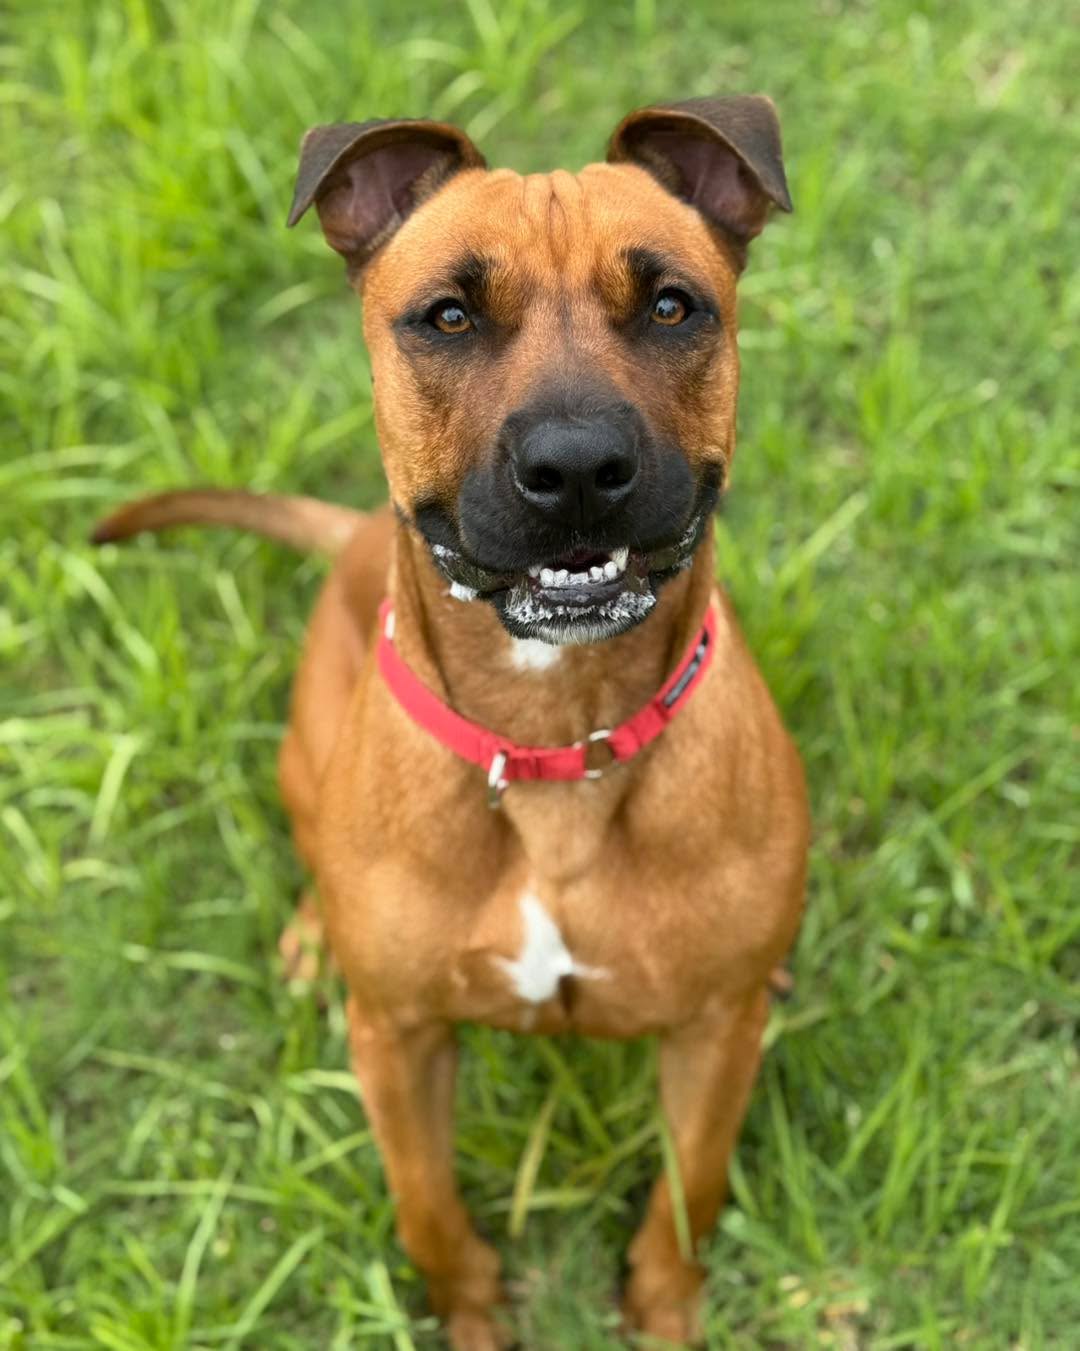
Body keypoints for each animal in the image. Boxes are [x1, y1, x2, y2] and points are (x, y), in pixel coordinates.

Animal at [93, 97, 809, 1349]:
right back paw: (309, 936)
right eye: (449, 317)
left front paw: (663, 1309)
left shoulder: (711, 1039)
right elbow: (426, 1203)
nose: (578, 465)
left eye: (673, 305)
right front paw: (471, 1308)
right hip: (305, 759)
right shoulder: (396, 1038)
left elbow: (688, 1192)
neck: (553, 737)